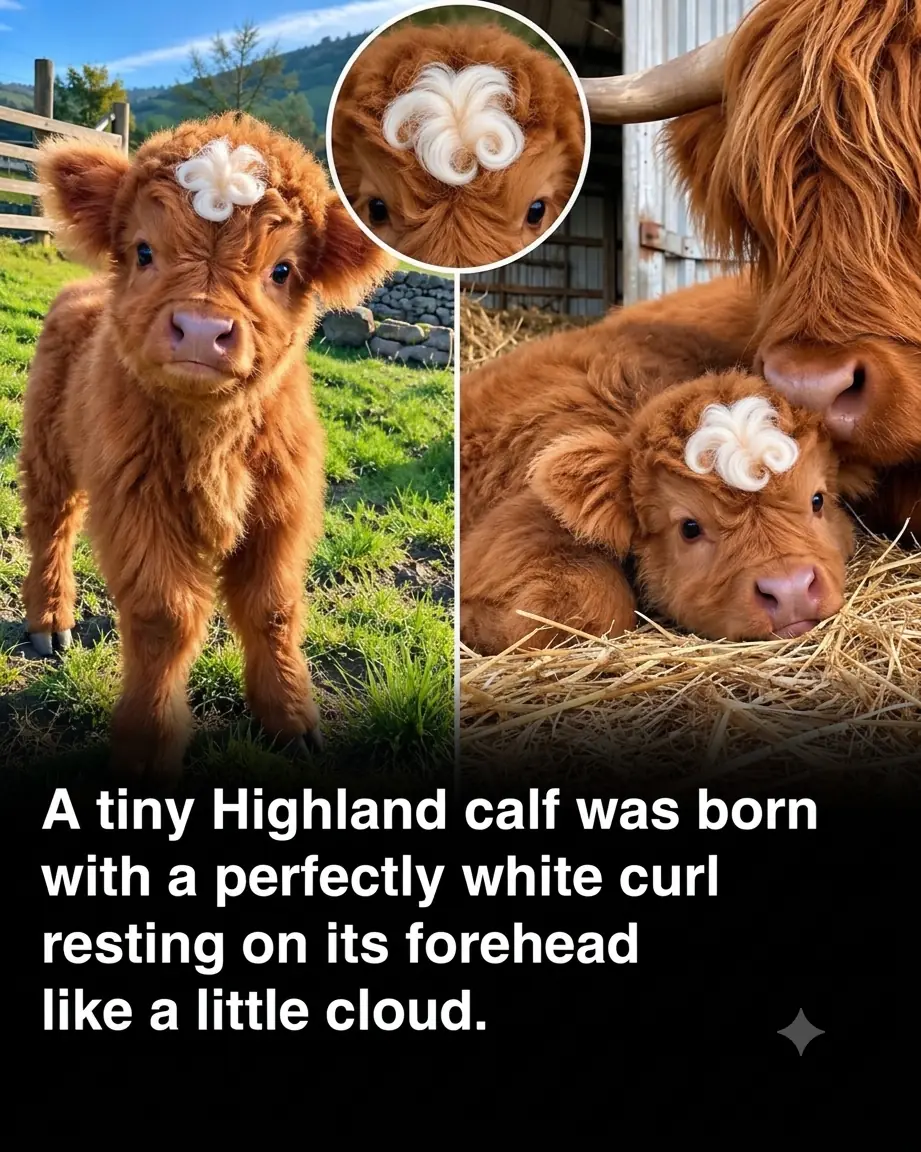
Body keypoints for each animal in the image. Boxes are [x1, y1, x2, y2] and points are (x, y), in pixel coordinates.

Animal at [20, 113, 391, 779]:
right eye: (145, 250)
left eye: (282, 270)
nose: (200, 329)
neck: (213, 440)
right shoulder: (141, 506)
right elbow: (165, 618)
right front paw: (147, 745)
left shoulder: (280, 509)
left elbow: (272, 608)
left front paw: (289, 719)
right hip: (47, 451)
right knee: (51, 527)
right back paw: (49, 621)